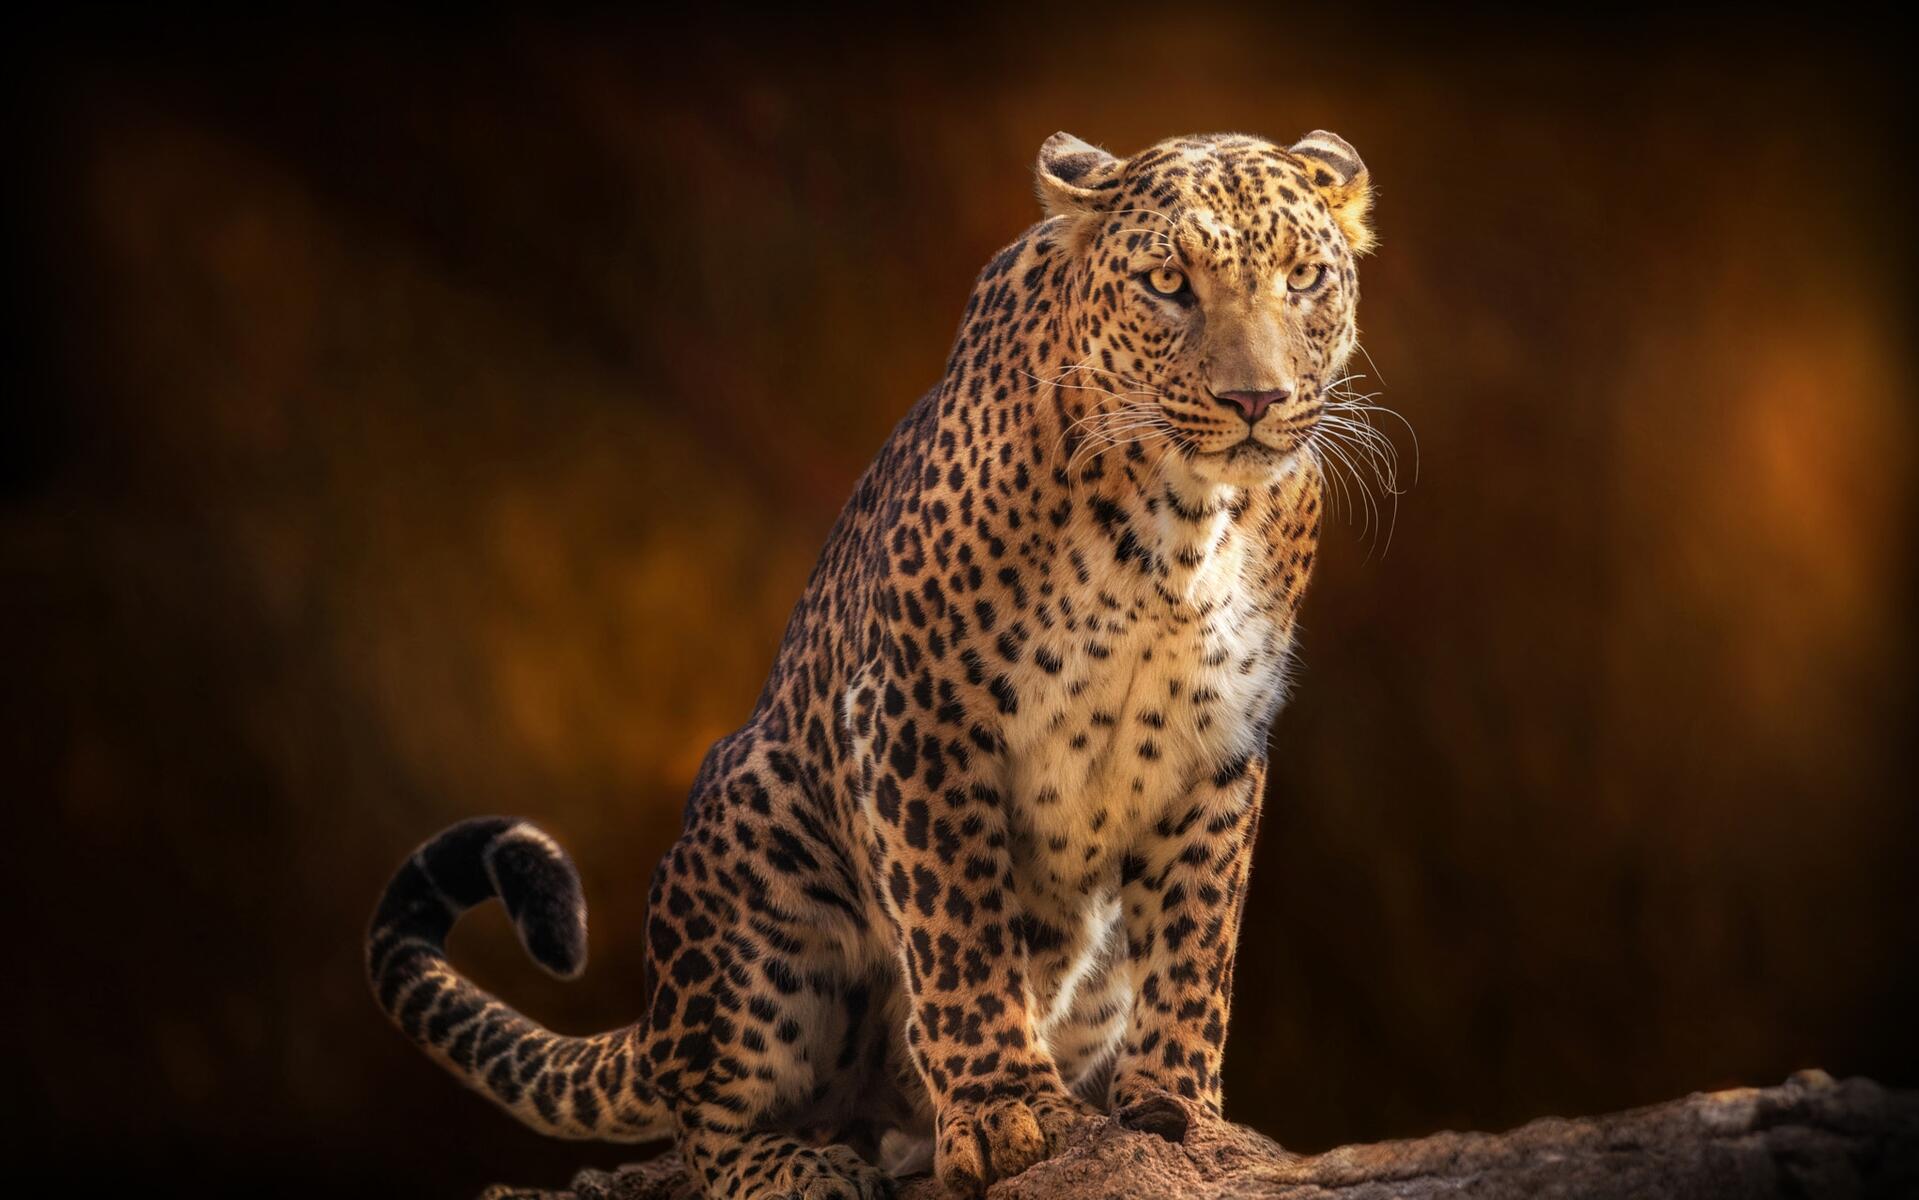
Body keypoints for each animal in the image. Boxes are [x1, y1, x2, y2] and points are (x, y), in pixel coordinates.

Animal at [367, 128, 1377, 1200]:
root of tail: (655, 1025)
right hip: (758, 826)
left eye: (1303, 279)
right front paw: (1009, 1112)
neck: (1181, 526)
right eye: (1167, 283)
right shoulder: (917, 710)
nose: (1255, 399)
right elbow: (962, 930)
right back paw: (802, 1166)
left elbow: (1195, 938)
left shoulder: (1217, 746)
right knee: (711, 1121)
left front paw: (1178, 1110)